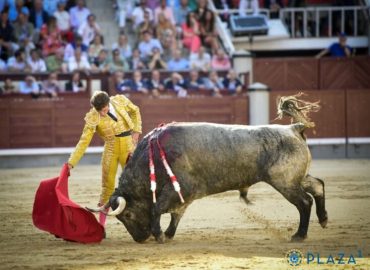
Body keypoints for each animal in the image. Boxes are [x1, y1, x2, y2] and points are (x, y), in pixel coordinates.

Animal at [90, 93, 330, 243]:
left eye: (127, 215)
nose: (140, 239)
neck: (153, 159)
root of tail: (293, 127)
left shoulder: (179, 189)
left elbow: (158, 209)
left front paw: (159, 234)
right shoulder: (185, 195)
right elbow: (176, 215)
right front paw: (168, 234)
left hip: (284, 181)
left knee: (304, 202)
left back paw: (300, 235)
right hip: (296, 177)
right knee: (317, 186)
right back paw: (324, 219)